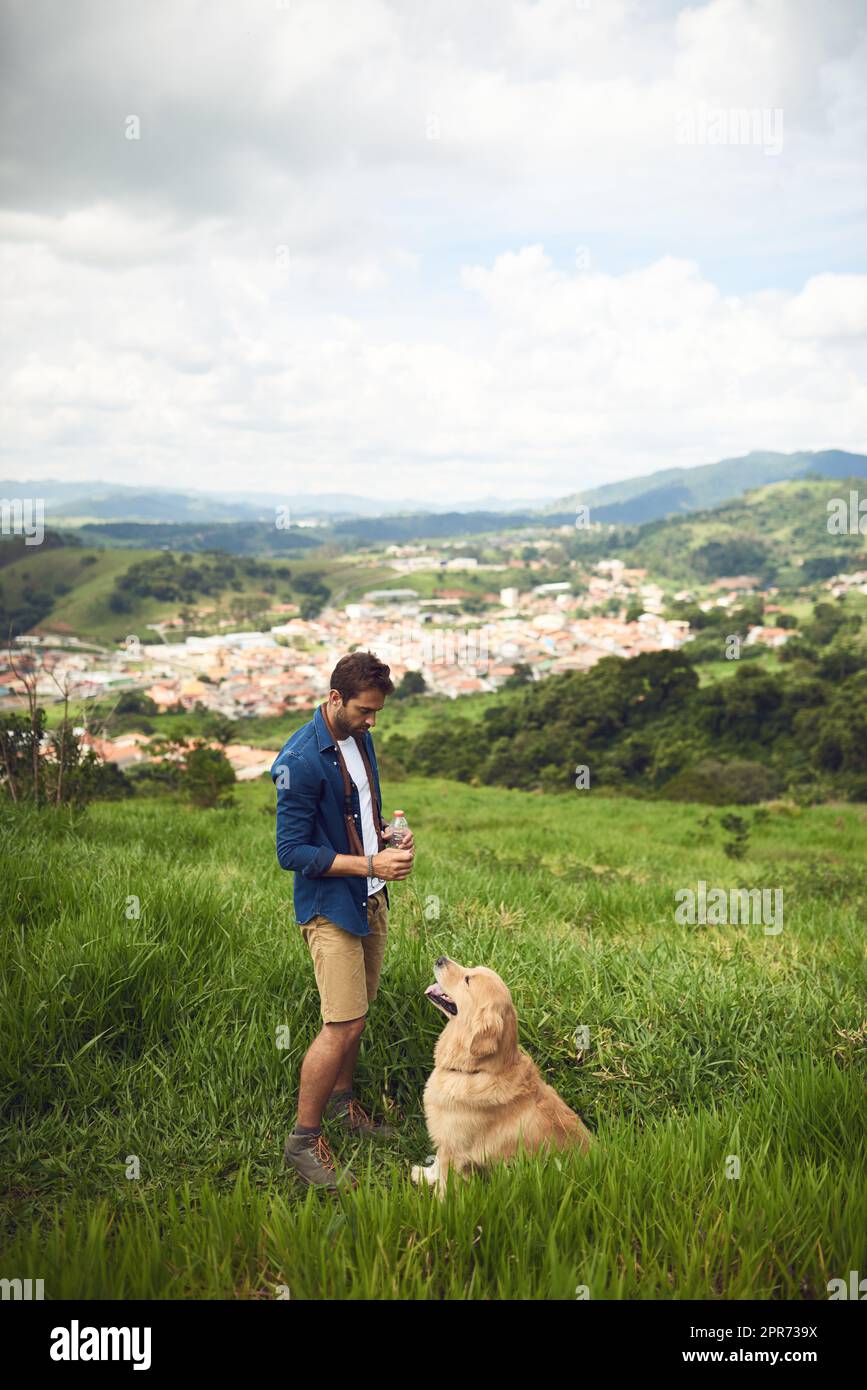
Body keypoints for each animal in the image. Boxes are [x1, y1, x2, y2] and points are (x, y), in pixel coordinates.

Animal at [408, 956, 591, 1195]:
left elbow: (445, 1184)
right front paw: (425, 1175)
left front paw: (436, 1202)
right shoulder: (446, 1139)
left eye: (467, 979)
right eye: (471, 968)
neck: (477, 1070)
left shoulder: (455, 1148)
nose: (440, 959)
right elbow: (437, 1163)